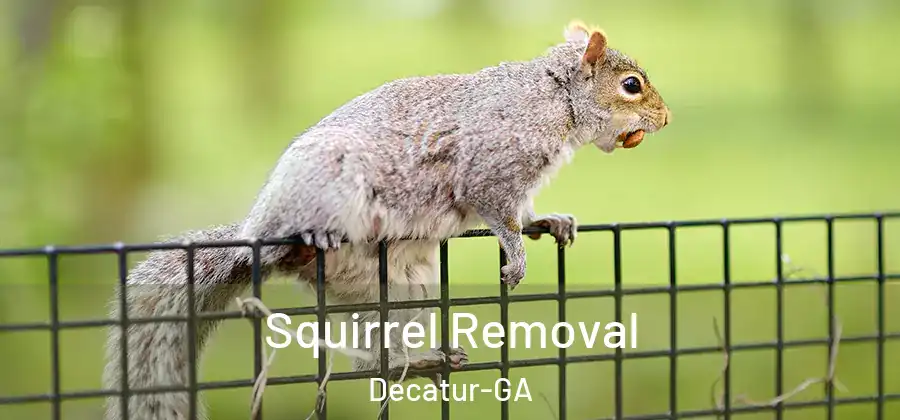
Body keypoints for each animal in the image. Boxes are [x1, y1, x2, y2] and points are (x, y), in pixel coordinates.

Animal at [102, 20, 670, 420]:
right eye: (631, 85)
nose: (665, 120)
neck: (554, 98)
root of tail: (253, 237)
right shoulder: (489, 168)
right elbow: (498, 214)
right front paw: (516, 256)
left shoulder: (519, 184)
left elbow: (524, 211)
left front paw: (549, 222)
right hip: (326, 186)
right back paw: (310, 239)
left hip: (400, 289)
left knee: (372, 361)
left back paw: (417, 361)